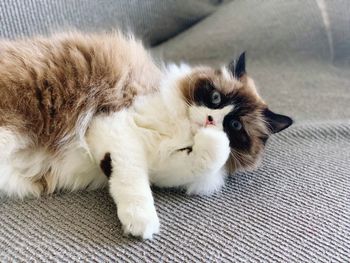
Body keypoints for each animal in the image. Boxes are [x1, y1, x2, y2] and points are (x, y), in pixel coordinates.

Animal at [0, 32, 292, 240]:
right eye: (216, 98)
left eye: (234, 125)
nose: (211, 120)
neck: (181, 131)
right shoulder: (115, 126)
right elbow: (133, 182)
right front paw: (141, 224)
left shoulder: (163, 166)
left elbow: (207, 159)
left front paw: (213, 142)